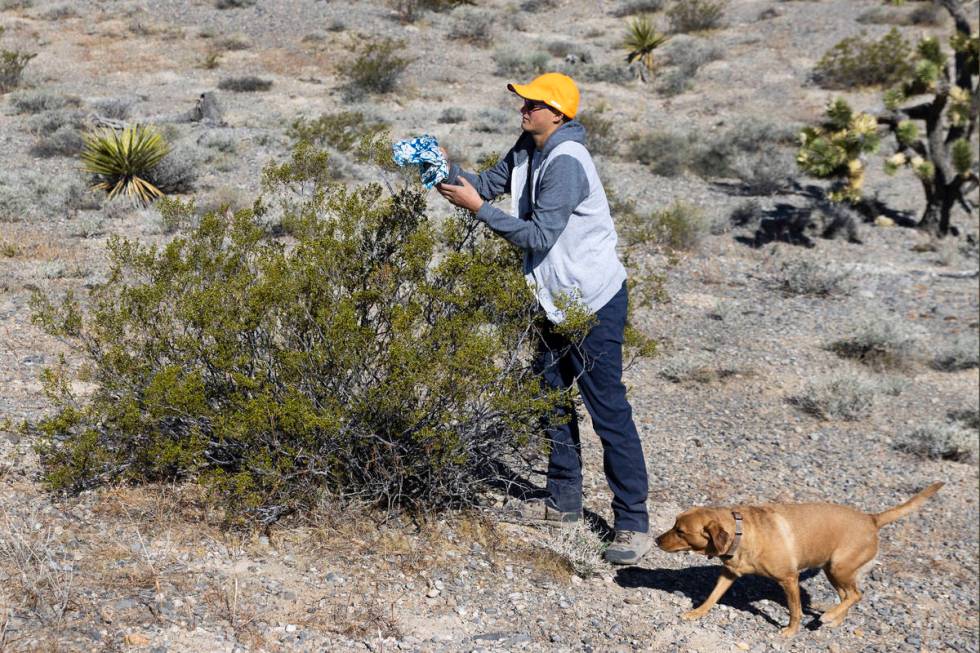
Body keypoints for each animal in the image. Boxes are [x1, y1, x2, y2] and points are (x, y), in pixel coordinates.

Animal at [656, 484, 944, 636]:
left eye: (680, 531)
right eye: (674, 524)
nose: (657, 540)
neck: (743, 532)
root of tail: (871, 519)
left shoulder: (788, 579)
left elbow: (795, 610)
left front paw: (790, 631)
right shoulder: (730, 573)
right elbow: (712, 597)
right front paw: (696, 613)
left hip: (839, 567)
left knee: (856, 595)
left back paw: (828, 617)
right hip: (833, 570)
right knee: (848, 595)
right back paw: (833, 619)